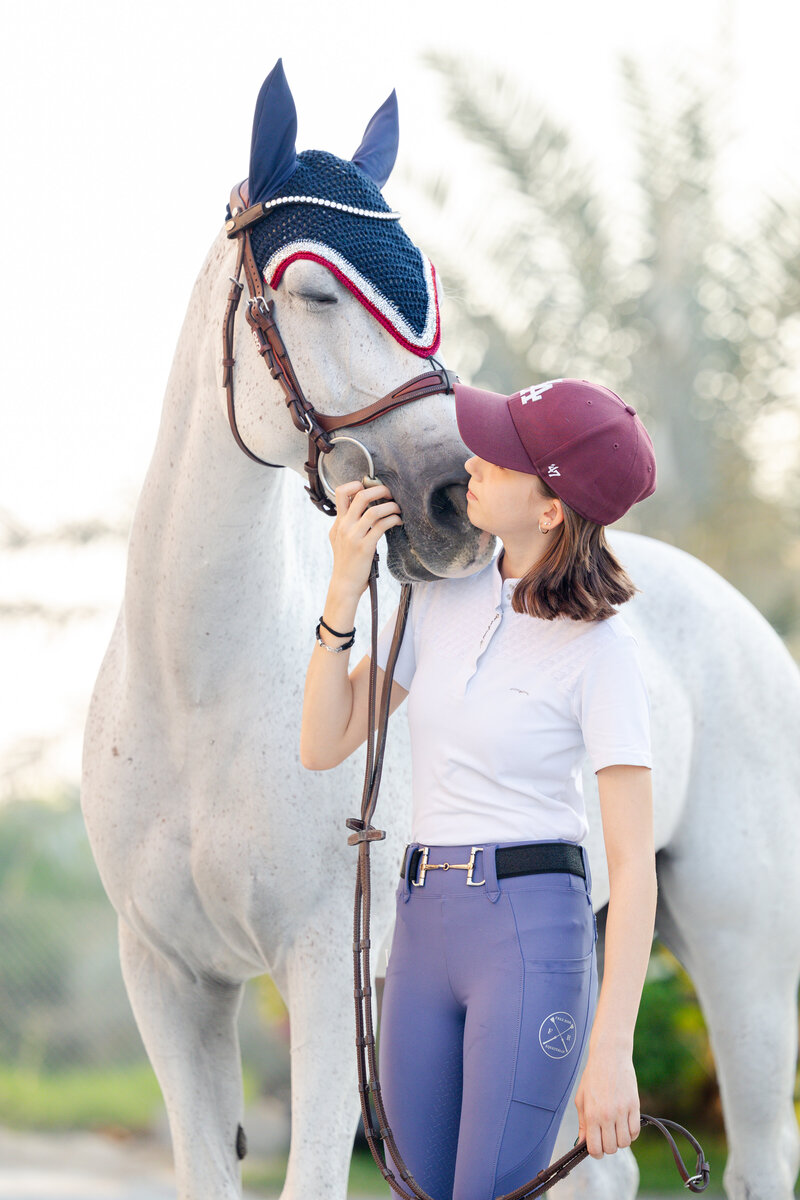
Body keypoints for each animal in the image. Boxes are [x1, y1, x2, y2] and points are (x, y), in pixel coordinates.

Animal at [81, 61, 800, 1200]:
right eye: (316, 291)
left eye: (428, 291)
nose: (451, 502)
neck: (196, 691)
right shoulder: (169, 978)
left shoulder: (323, 977)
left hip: (745, 956)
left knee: (758, 1153)